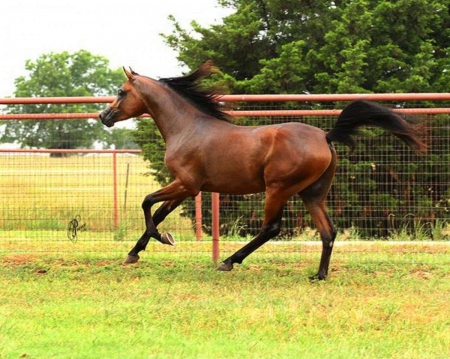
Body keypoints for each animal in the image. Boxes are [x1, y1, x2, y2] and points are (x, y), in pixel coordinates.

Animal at [99, 61, 426, 282]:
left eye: (121, 91)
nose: (104, 116)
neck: (188, 128)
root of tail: (326, 136)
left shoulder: (187, 185)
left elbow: (147, 203)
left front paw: (162, 238)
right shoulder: (186, 187)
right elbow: (157, 212)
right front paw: (134, 253)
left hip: (278, 189)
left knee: (271, 228)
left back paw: (229, 261)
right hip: (312, 194)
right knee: (328, 231)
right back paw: (319, 275)